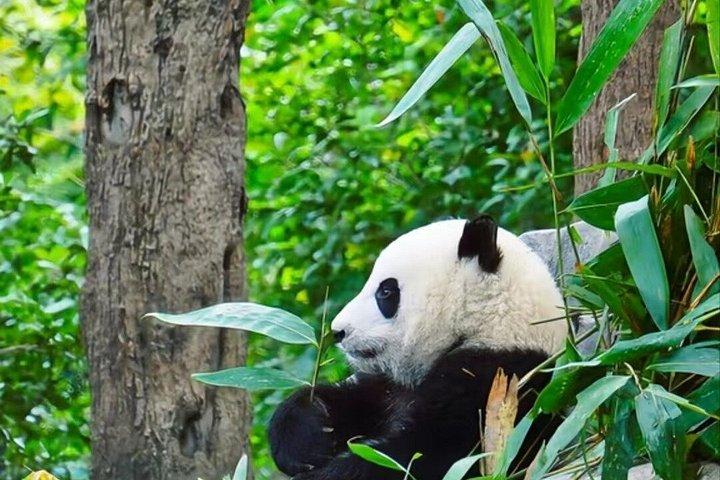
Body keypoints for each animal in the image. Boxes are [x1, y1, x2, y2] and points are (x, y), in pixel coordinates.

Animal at [269, 216, 566, 480]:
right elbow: (349, 403)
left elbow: (426, 456)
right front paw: (311, 435)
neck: (492, 321)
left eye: (386, 291)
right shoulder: (387, 385)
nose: (338, 331)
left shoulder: (502, 381)